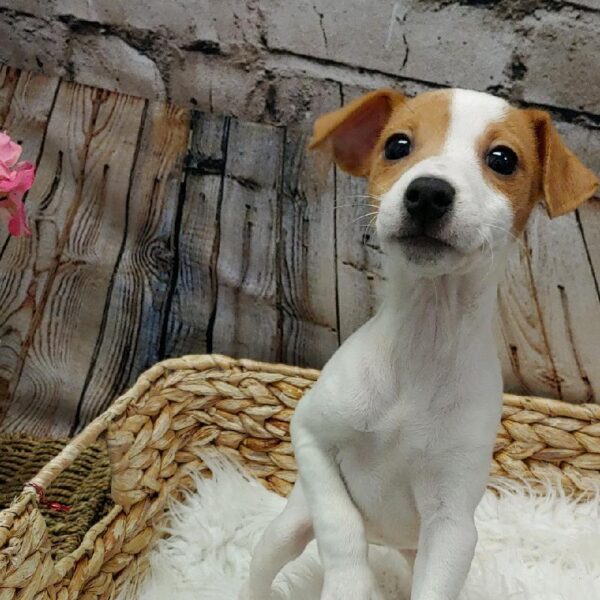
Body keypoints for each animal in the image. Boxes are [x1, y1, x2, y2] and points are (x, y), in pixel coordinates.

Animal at [241, 88, 596, 600]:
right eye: (396, 145)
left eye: (503, 159)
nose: (428, 192)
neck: (425, 337)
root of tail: (386, 539)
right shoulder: (311, 435)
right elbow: (340, 526)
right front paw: (350, 585)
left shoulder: (452, 526)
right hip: (289, 527)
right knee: (266, 566)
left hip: (418, 548)